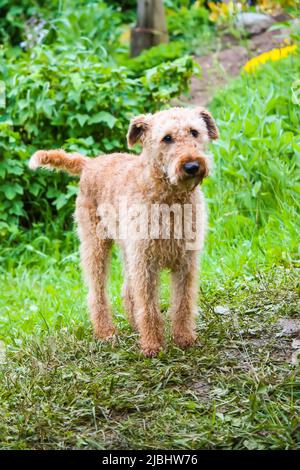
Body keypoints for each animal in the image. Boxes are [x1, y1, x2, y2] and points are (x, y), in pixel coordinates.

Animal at [29, 106, 218, 356]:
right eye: (167, 138)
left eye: (194, 132)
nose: (192, 166)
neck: (169, 197)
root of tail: (89, 163)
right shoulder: (145, 263)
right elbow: (148, 306)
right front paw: (152, 346)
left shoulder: (185, 262)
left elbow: (183, 304)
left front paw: (184, 339)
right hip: (96, 246)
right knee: (97, 293)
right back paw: (106, 332)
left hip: (128, 250)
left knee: (127, 290)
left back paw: (134, 325)